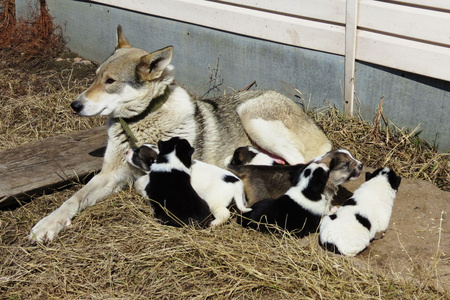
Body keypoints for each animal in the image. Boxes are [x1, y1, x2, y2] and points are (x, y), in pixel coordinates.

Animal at [28, 25, 330, 244]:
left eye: (110, 81)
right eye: (94, 77)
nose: (74, 105)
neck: (142, 120)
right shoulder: (110, 174)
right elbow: (74, 198)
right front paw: (48, 224)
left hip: (251, 115)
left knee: (298, 163)